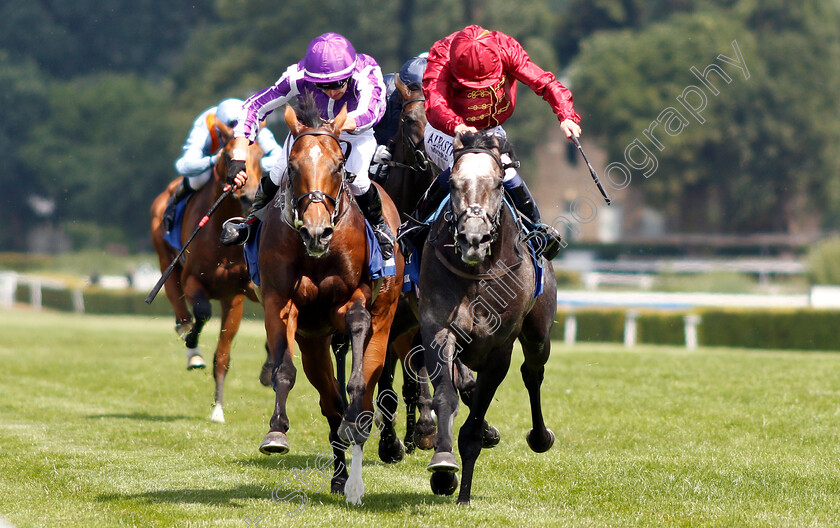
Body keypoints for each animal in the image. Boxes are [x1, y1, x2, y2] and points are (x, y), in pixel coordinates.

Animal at [148, 120, 260, 424]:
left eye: (260, 157)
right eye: (227, 156)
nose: (247, 195)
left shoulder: (235, 296)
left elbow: (222, 355)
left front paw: (218, 409)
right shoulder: (193, 281)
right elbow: (201, 312)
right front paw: (191, 342)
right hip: (166, 259)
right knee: (180, 307)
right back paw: (190, 344)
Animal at [260, 94, 404, 504]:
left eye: (339, 166)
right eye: (293, 167)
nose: (316, 231)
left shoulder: (356, 300)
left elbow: (357, 328)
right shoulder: (281, 302)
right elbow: (284, 369)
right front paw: (276, 431)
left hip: (386, 322)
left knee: (364, 399)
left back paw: (355, 479)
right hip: (314, 342)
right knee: (331, 405)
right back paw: (341, 477)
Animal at [416, 131, 556, 504]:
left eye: (497, 184)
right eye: (451, 183)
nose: (473, 238)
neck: (477, 273)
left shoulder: (498, 349)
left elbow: (474, 426)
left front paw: (463, 493)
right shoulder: (439, 329)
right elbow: (447, 396)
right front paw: (444, 466)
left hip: (539, 334)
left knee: (532, 372)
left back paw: (540, 437)